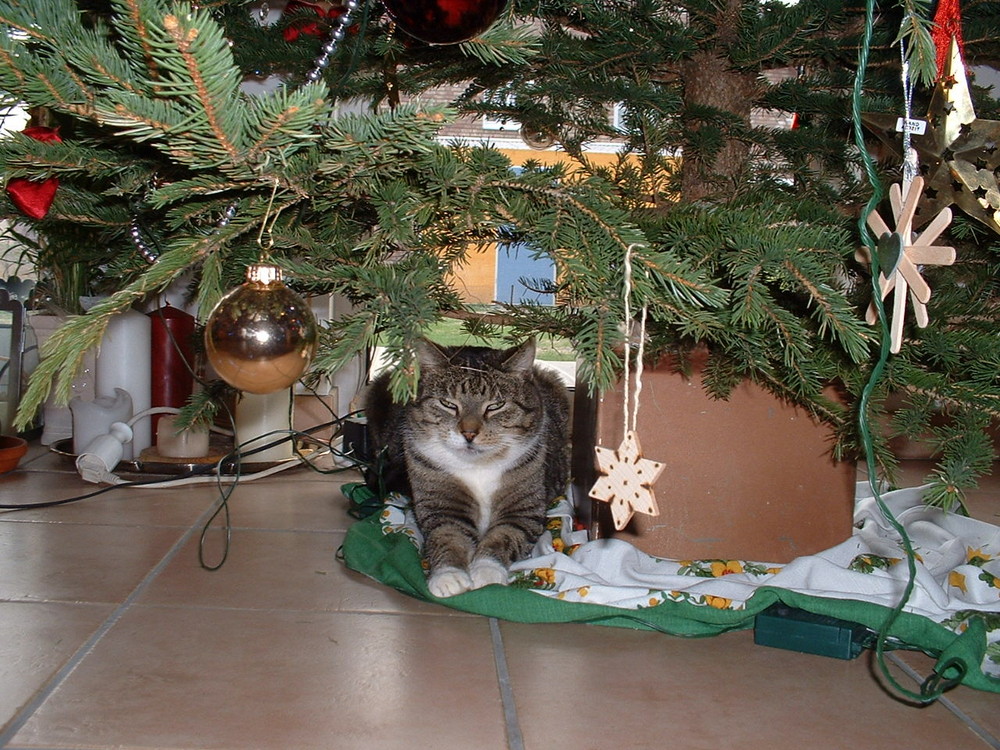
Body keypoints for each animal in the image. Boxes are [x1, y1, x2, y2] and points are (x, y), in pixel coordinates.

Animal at [366, 340, 572, 600]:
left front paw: (486, 570)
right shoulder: (443, 506)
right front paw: (449, 576)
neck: (478, 466)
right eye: (448, 404)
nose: (469, 433)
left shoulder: (523, 510)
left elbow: (504, 536)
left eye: (496, 406)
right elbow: (448, 537)